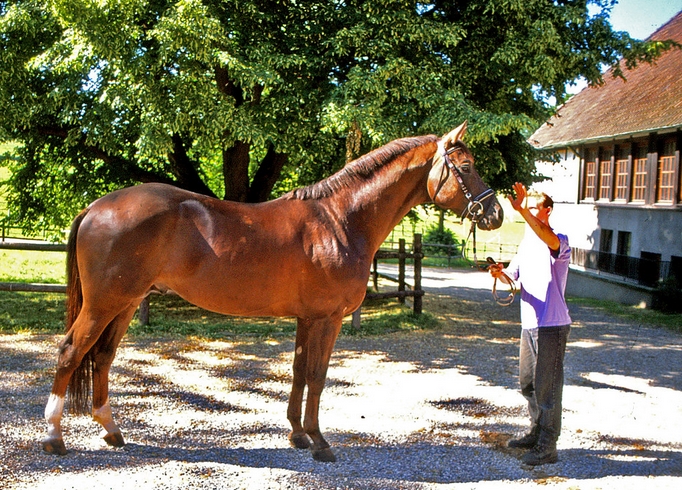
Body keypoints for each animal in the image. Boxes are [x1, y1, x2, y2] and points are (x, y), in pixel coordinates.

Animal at [42, 121, 503, 462]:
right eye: (465, 166)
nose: (494, 213)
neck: (340, 220)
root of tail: (96, 206)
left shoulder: (306, 318)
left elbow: (298, 372)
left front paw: (297, 435)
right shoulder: (328, 318)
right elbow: (318, 376)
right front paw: (320, 442)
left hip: (125, 303)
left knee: (102, 357)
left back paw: (112, 431)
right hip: (104, 304)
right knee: (70, 352)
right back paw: (53, 437)